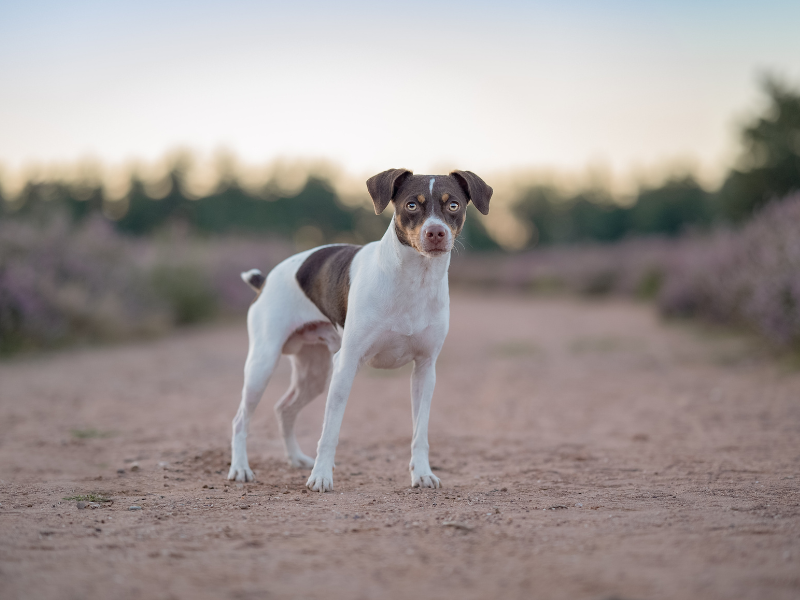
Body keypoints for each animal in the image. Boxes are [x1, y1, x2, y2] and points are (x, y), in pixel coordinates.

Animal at [230, 166, 494, 490]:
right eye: (412, 205)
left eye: (453, 205)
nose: (435, 233)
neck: (414, 281)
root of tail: (264, 280)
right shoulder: (346, 365)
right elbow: (329, 432)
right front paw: (321, 476)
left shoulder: (425, 370)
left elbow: (420, 432)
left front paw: (422, 473)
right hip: (263, 364)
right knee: (241, 420)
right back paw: (241, 468)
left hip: (315, 372)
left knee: (284, 409)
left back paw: (295, 459)